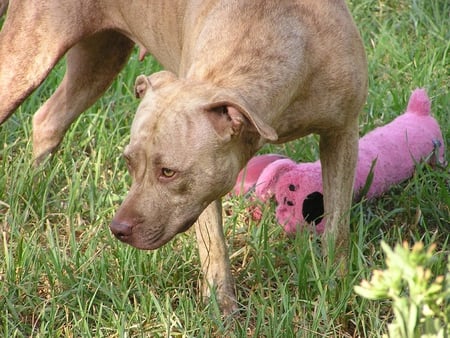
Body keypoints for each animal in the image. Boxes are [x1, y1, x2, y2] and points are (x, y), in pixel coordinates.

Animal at [0, 0, 366, 312]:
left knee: (48, 119)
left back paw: (34, 183)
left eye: (168, 172)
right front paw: (222, 311)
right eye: (129, 162)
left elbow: (337, 226)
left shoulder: (342, 135)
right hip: (30, 57)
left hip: (99, 60)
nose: (117, 229)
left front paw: (337, 287)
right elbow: (214, 245)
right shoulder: (204, 191)